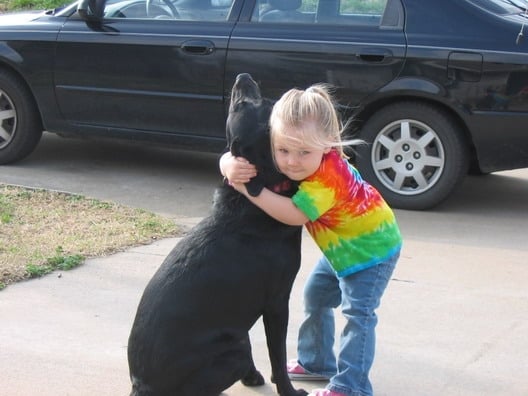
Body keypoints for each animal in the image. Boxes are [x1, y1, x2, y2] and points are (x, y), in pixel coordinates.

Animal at [128, 74, 308, 396]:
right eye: (246, 104)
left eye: (237, 106)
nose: (241, 77)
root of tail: (141, 384)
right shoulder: (277, 301)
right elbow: (277, 355)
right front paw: (288, 389)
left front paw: (255, 377)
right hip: (233, 352)